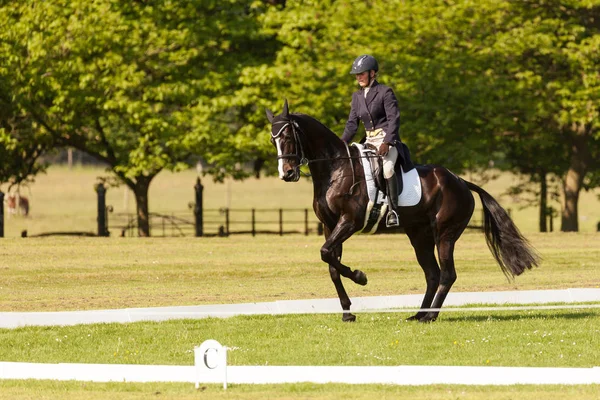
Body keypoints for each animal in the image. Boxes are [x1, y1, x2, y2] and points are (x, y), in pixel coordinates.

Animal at [266, 100, 540, 322]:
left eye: (288, 136)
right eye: (273, 140)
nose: (287, 173)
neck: (334, 169)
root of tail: (460, 181)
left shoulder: (349, 222)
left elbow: (327, 254)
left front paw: (360, 276)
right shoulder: (329, 225)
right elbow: (331, 263)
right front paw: (347, 312)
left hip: (445, 234)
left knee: (447, 274)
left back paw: (430, 316)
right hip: (419, 236)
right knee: (432, 274)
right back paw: (418, 314)